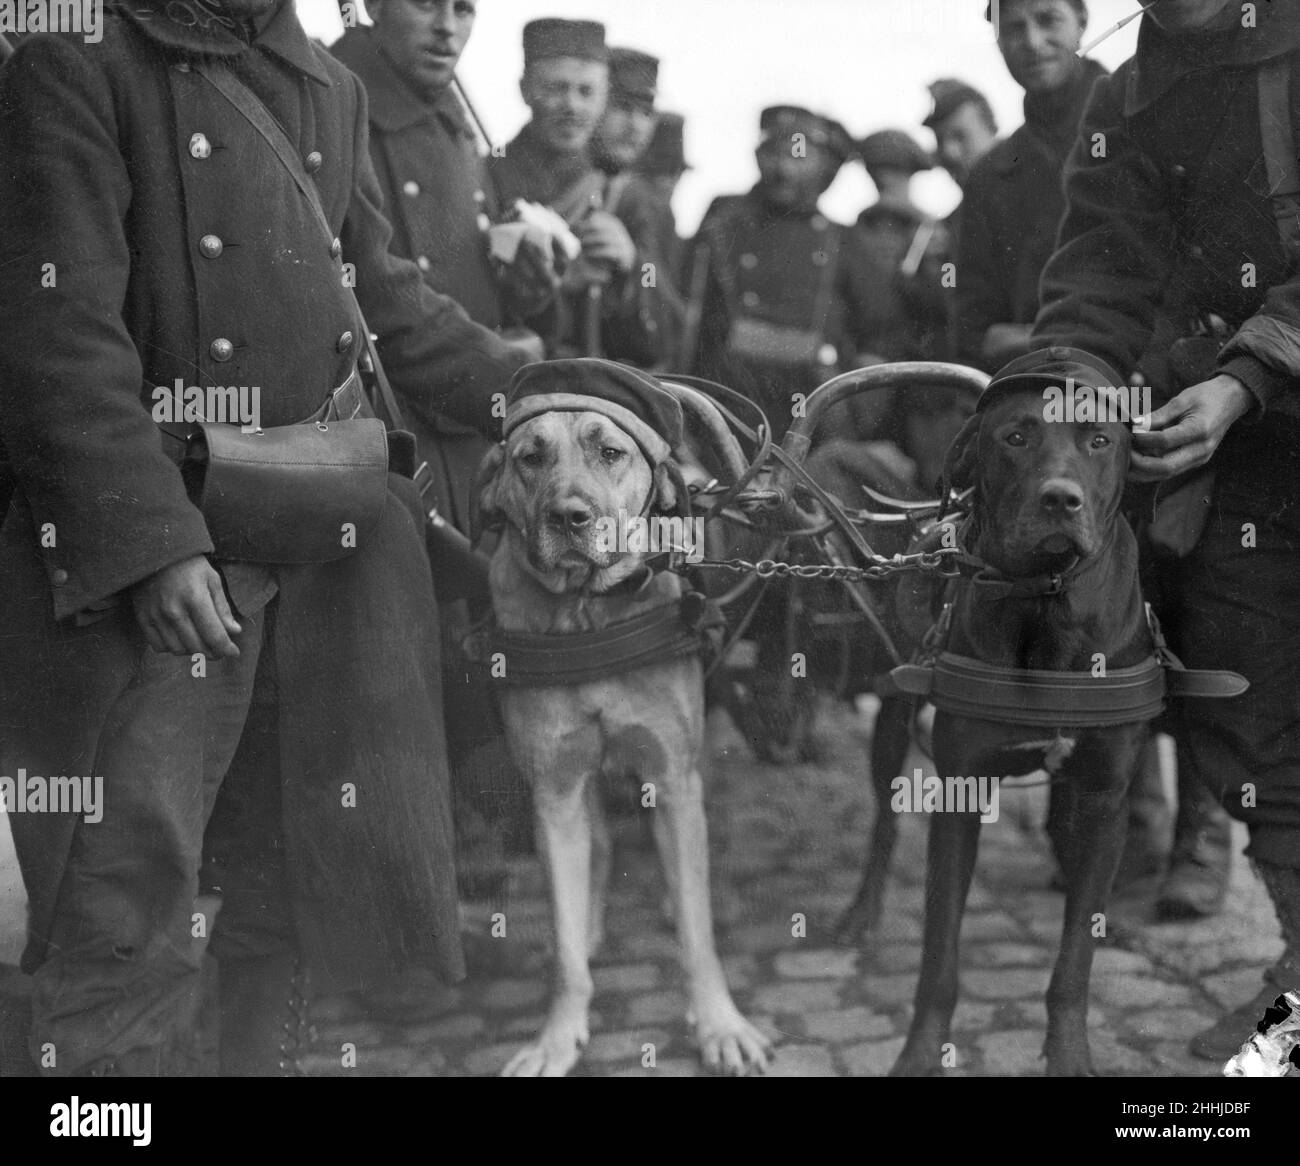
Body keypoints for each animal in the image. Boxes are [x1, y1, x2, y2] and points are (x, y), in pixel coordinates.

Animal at [475, 358, 769, 1076]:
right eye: (530, 457)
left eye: (610, 452)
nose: (568, 516)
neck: (589, 611)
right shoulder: (553, 787)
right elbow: (562, 938)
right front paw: (556, 1034)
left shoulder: (673, 775)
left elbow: (697, 929)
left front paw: (719, 1023)